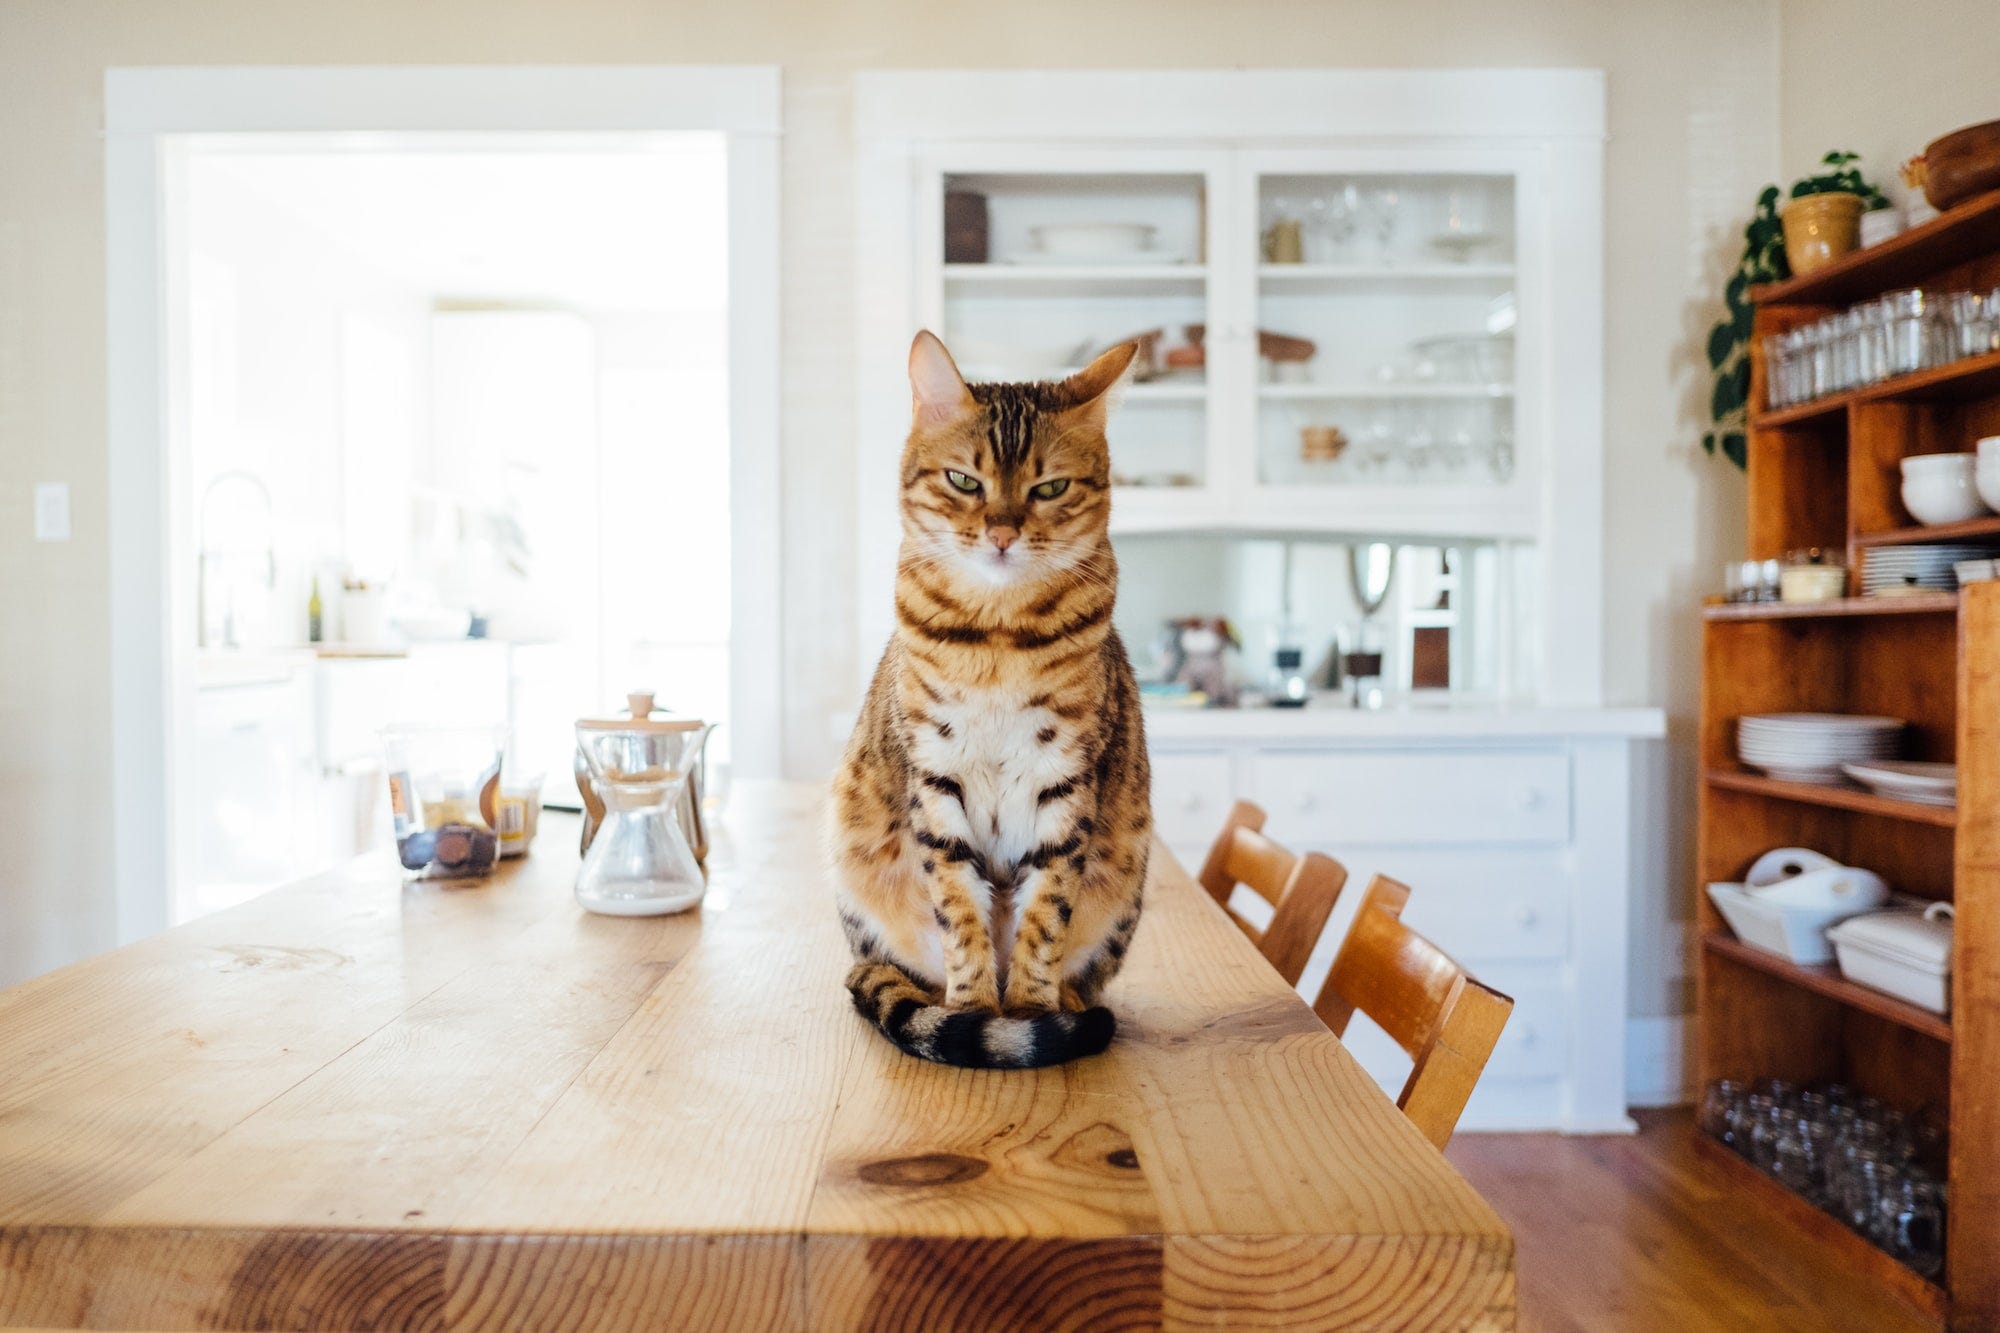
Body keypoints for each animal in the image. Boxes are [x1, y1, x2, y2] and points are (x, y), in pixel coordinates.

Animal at [824, 332, 1144, 1072]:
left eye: (1050, 487)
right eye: (964, 481)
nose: (1001, 532)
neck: (998, 637)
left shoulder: (1066, 779)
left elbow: (1045, 912)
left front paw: (1028, 1011)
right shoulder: (936, 776)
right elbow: (959, 909)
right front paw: (974, 1011)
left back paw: (1069, 1004)